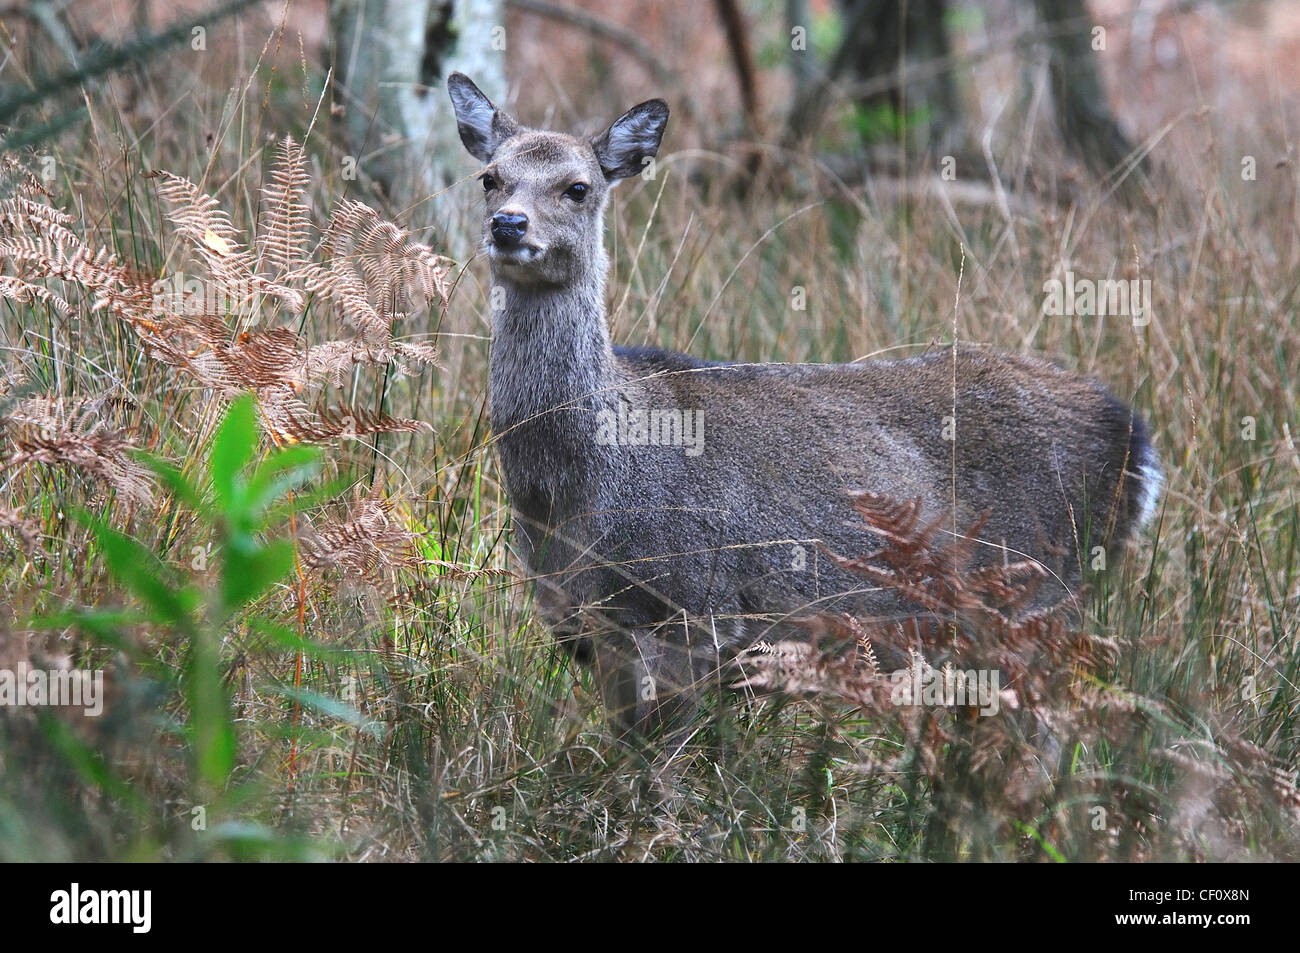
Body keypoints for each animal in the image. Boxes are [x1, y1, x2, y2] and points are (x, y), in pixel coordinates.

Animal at [446, 73, 1162, 736]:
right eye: (490, 177)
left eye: (577, 187)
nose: (508, 224)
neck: (578, 488)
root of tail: (1136, 437)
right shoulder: (587, 628)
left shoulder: (692, 606)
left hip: (1042, 591)